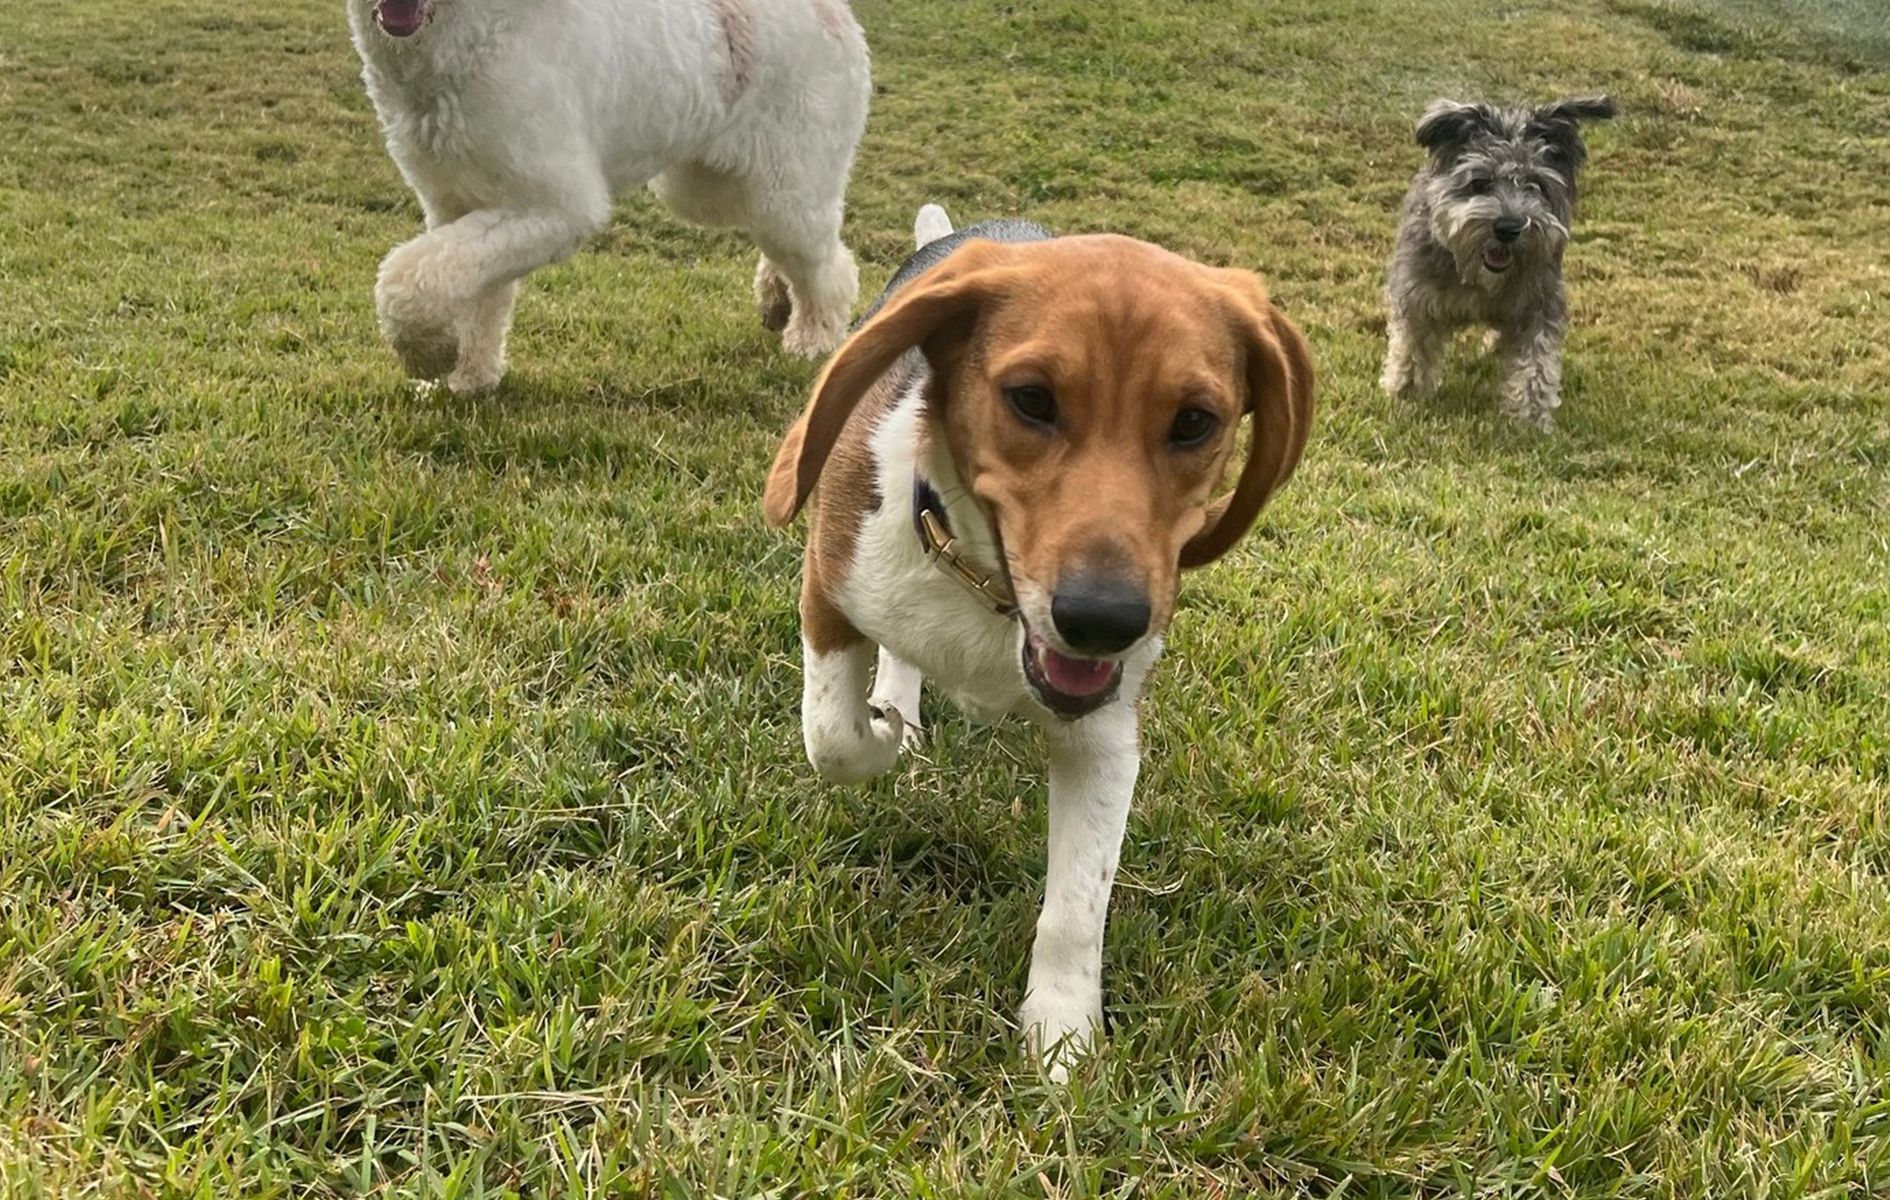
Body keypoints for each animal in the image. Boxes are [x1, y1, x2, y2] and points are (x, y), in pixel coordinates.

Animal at [349, 0, 869, 391]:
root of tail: (835, 10)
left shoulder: (556, 206)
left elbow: (407, 280)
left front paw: (430, 355)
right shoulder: (457, 204)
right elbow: (468, 290)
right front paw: (470, 376)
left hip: (786, 186)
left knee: (828, 265)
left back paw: (813, 337)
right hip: (708, 188)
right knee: (790, 250)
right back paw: (777, 298)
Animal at [756, 206, 1315, 1080]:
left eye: (1195, 421)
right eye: (1030, 400)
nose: (1105, 618)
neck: (992, 598)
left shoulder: (1107, 733)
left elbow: (1077, 905)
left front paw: (1063, 1037)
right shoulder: (828, 591)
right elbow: (834, 737)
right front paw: (882, 727)